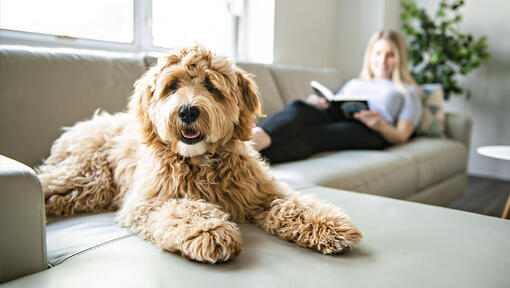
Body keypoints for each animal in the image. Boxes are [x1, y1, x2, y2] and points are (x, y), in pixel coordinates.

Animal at [36, 45, 362, 264]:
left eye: (211, 85)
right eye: (171, 86)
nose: (188, 111)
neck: (201, 161)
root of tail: (81, 126)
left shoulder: (262, 192)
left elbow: (293, 203)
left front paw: (328, 225)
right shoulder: (147, 202)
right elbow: (183, 209)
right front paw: (209, 230)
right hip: (88, 178)